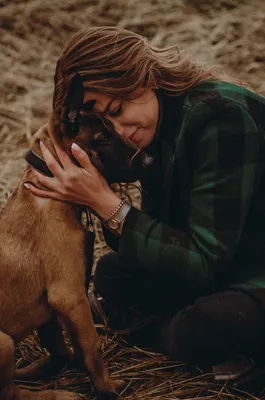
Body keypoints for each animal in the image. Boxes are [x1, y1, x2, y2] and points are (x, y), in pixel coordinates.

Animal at [0, 73, 153, 398]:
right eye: (102, 138)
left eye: (115, 129)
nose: (148, 161)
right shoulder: (69, 296)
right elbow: (92, 346)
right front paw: (106, 386)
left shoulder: (56, 304)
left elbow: (61, 343)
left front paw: (68, 365)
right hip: (4, 342)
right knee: (9, 393)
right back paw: (56, 394)